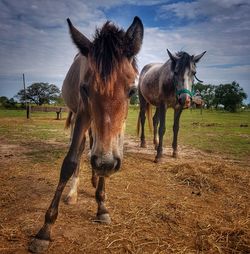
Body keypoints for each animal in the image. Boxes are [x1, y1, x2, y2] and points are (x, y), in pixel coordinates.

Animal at [29, 16, 143, 253]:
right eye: (85, 88)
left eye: (132, 90)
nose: (104, 164)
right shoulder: (82, 113)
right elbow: (70, 161)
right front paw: (45, 229)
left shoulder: (118, 128)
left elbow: (109, 154)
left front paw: (102, 206)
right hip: (77, 116)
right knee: (82, 149)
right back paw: (73, 192)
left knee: (92, 145)